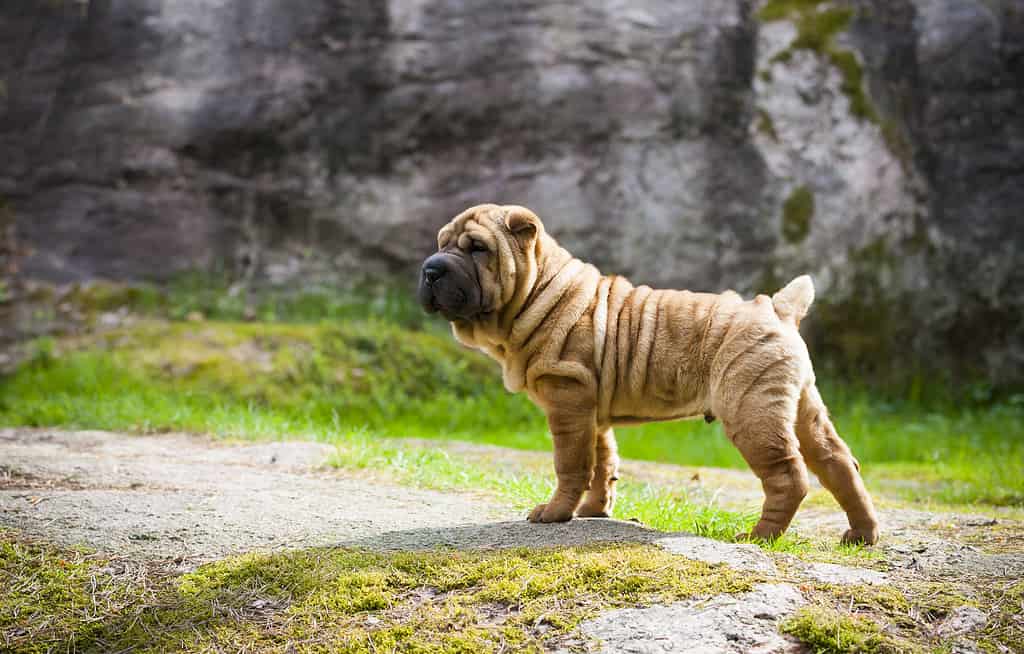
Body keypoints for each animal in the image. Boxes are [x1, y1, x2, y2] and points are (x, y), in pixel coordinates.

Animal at [415, 204, 880, 548]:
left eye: (477, 248)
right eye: (440, 244)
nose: (430, 269)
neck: (538, 292)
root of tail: (778, 308)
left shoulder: (567, 398)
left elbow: (570, 464)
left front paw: (555, 514)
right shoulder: (591, 409)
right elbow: (602, 461)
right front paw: (595, 510)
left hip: (751, 409)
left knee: (788, 475)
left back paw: (758, 536)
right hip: (802, 406)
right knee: (839, 463)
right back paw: (861, 534)